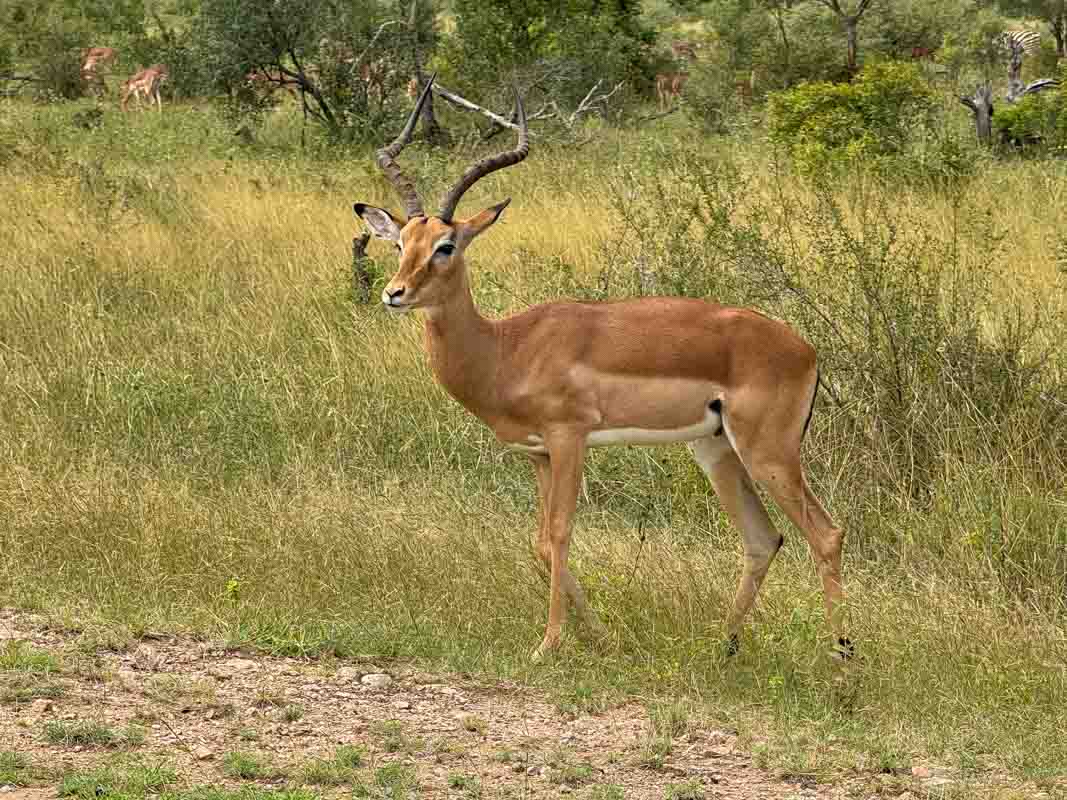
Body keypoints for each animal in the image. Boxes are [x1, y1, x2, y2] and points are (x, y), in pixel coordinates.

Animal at [356, 76, 849, 665]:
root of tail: (806, 350)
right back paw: (721, 649)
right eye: (400, 243)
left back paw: (842, 657)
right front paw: (602, 638)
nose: (394, 293)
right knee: (762, 538)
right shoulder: (539, 454)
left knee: (826, 533)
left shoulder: (570, 439)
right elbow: (540, 543)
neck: (508, 347)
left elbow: (561, 533)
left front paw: (547, 645)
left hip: (769, 453)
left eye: (446, 246)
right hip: (715, 449)